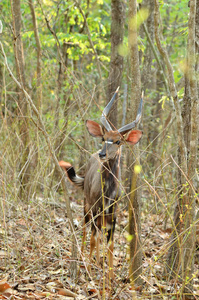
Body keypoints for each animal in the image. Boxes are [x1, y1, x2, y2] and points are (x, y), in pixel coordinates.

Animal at [59, 88, 143, 278]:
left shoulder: (113, 213)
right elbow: (93, 239)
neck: (108, 193)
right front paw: (89, 272)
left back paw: (98, 262)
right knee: (86, 231)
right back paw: (84, 260)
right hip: (86, 205)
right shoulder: (96, 208)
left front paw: (110, 278)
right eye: (104, 137)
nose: (102, 154)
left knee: (97, 234)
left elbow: (110, 245)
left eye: (118, 141)